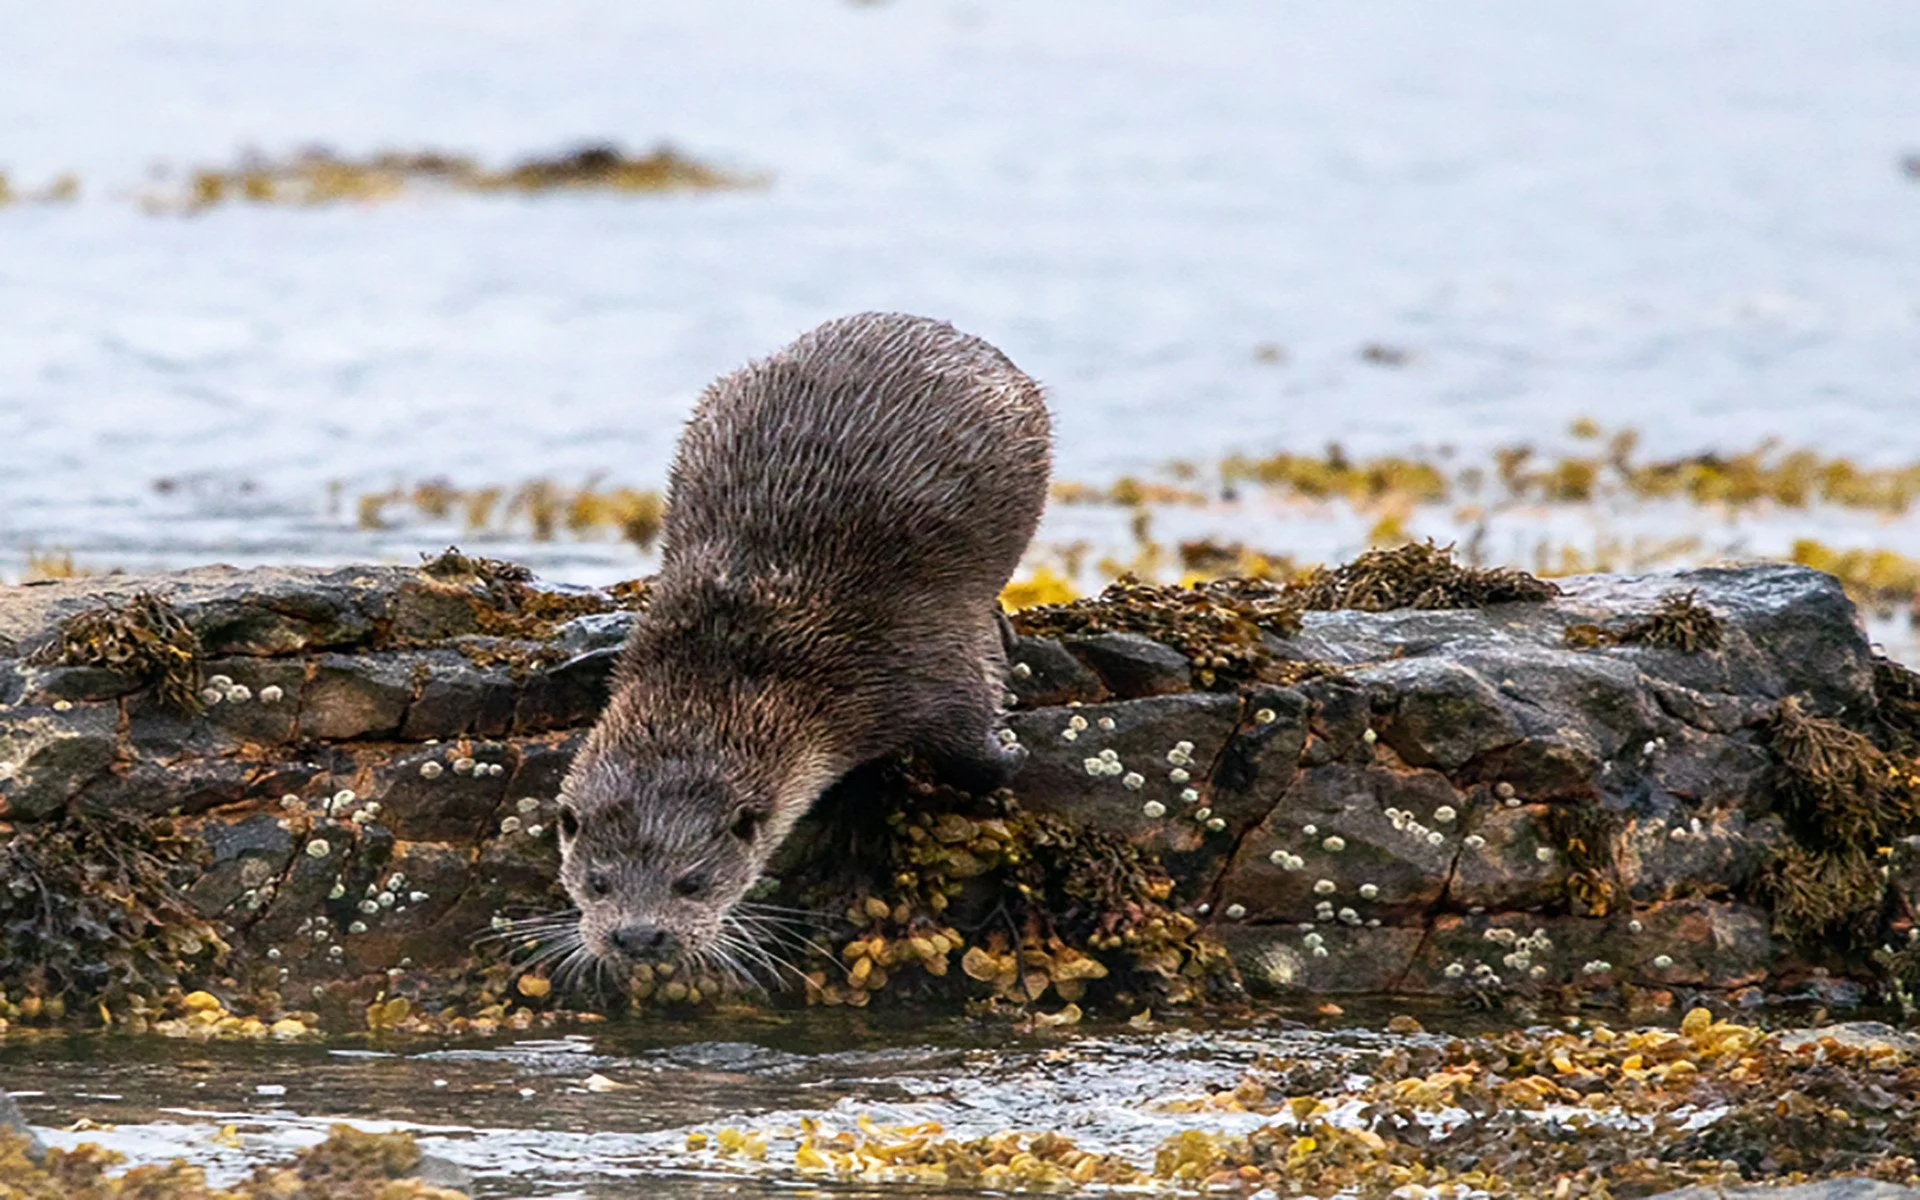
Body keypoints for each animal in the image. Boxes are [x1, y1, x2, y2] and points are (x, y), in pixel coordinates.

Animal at [556, 312, 1052, 974]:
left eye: (693, 881)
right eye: (598, 881)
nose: (638, 936)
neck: (742, 661)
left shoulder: (919, 662)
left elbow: (972, 745)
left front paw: (1010, 753)